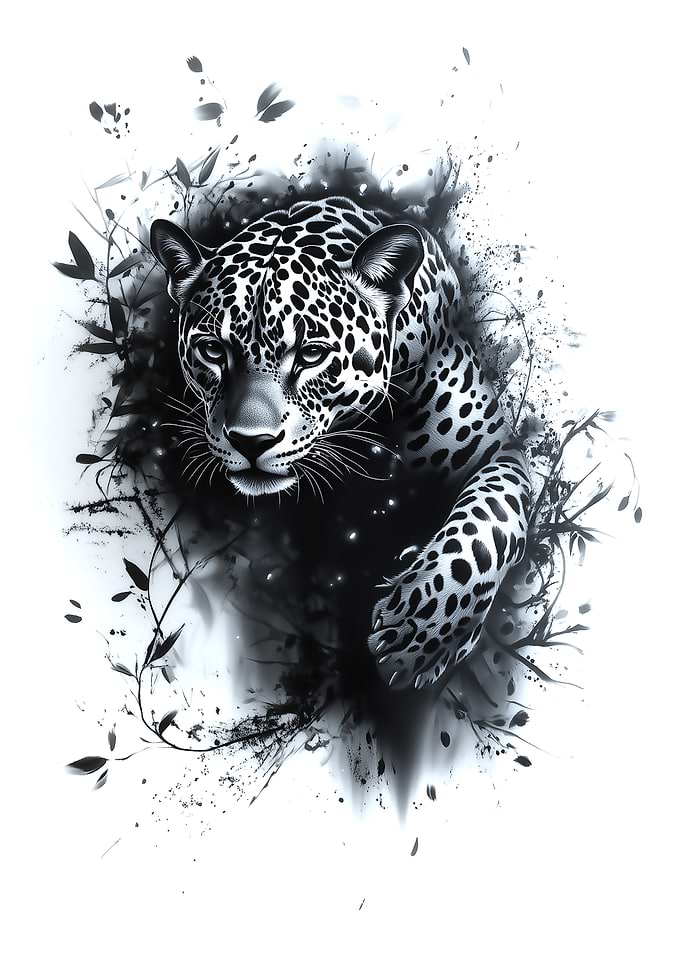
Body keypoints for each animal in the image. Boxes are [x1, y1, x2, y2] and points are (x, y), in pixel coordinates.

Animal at [150, 195, 531, 692]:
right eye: (213, 350)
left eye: (311, 354)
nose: (251, 442)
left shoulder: (498, 451)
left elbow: (493, 522)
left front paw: (420, 633)